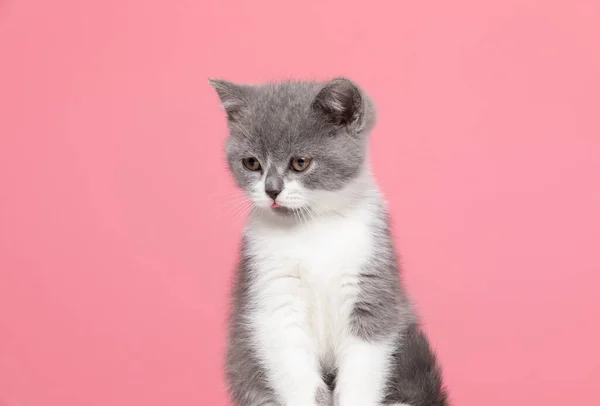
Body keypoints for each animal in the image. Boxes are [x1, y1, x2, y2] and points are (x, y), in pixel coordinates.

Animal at [209, 77, 448, 406]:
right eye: (251, 163)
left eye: (300, 163)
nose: (272, 190)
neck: (313, 227)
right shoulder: (272, 294)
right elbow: (294, 370)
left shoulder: (372, 286)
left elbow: (363, 368)